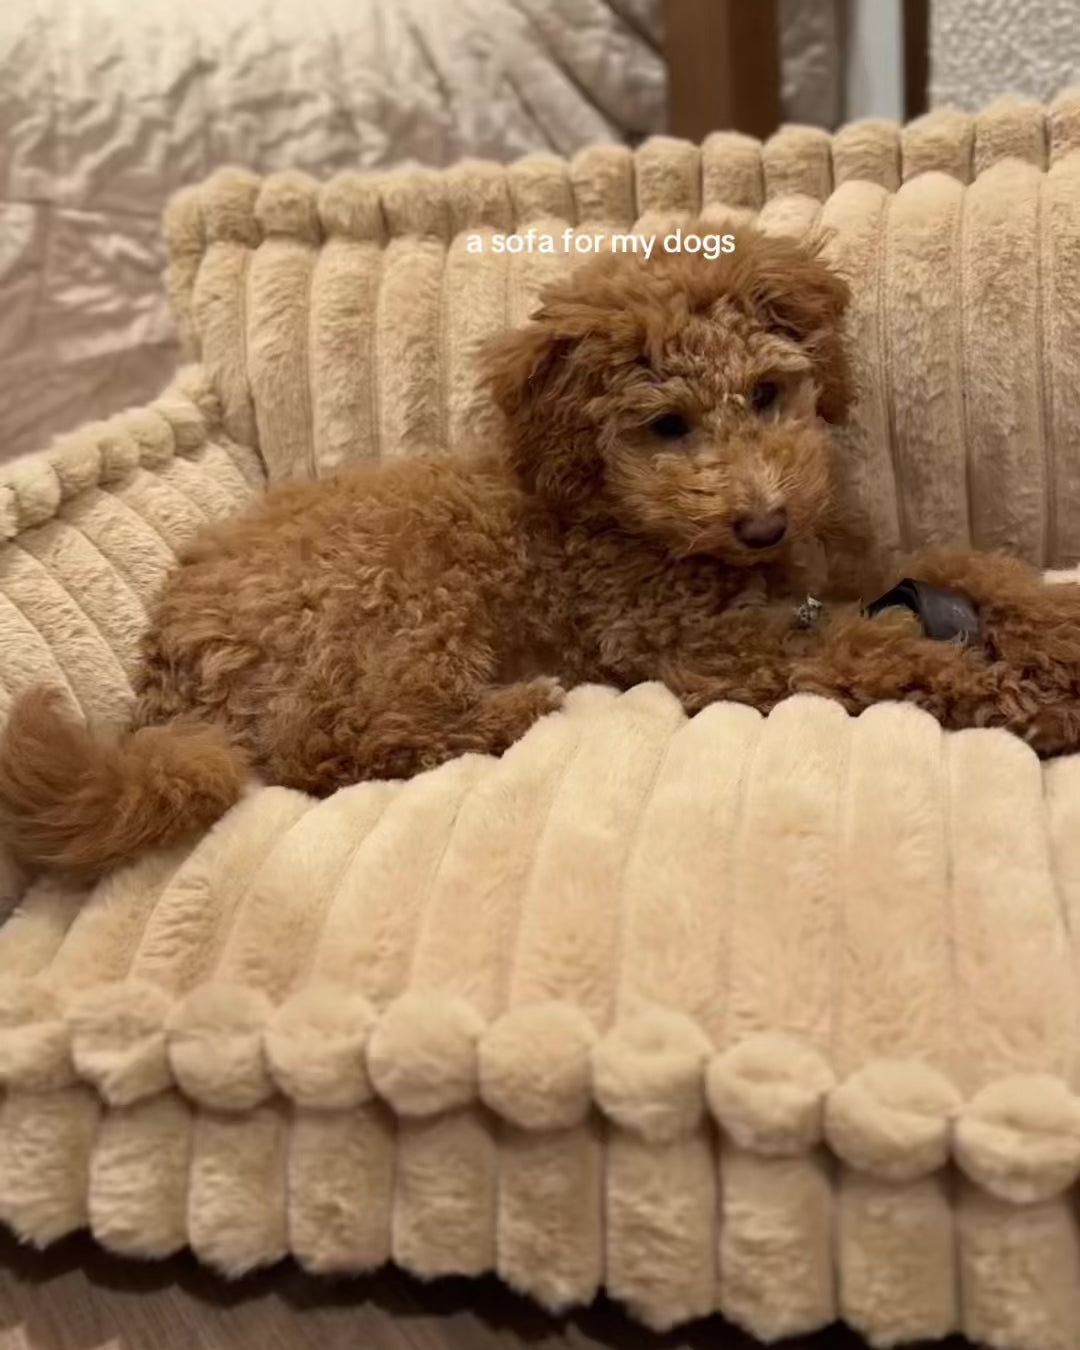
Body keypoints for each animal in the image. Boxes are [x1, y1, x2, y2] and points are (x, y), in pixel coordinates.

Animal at [4, 224, 1080, 880]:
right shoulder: (697, 649)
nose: (764, 523)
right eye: (667, 426)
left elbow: (973, 570)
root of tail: (166, 669)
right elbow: (875, 649)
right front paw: (1015, 692)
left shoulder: (849, 566)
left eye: (769, 394)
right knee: (333, 743)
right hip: (405, 603)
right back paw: (510, 708)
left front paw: (1052, 631)